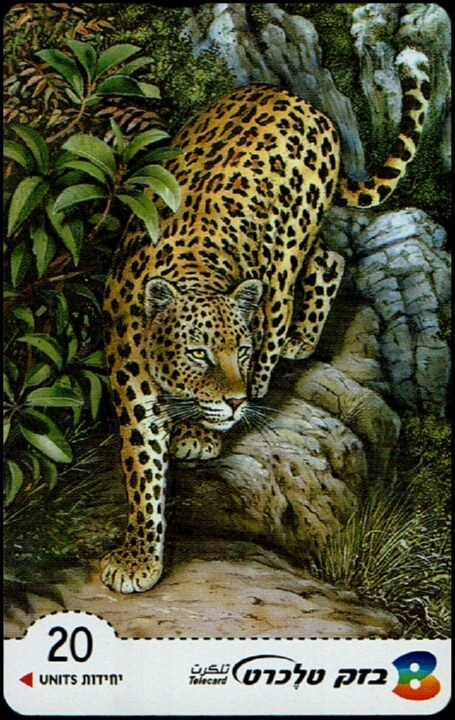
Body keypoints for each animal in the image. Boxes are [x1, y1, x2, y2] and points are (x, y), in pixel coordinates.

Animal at [101, 49, 430, 593]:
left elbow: (259, 368)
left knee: (323, 263)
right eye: (198, 354)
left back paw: (298, 342)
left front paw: (209, 432)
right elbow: (141, 471)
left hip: (295, 236)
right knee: (330, 258)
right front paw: (140, 559)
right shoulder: (131, 386)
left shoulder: (269, 303)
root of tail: (299, 99)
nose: (232, 400)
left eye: (241, 352)